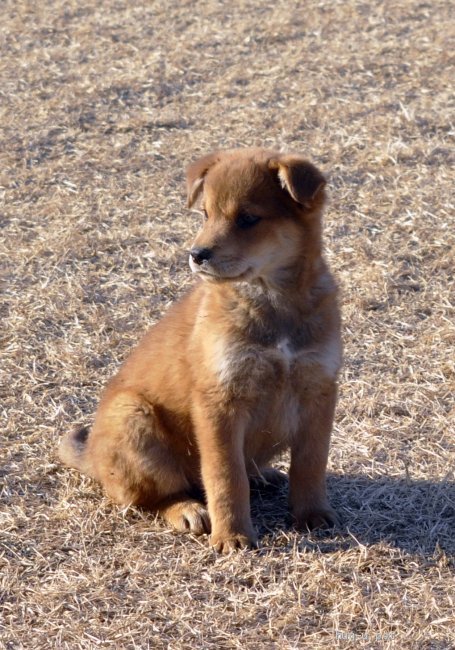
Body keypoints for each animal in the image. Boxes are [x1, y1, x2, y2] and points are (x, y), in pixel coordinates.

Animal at [60, 148, 344, 552]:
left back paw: (263, 474)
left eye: (248, 218)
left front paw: (312, 514)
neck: (272, 301)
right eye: (205, 214)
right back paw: (187, 510)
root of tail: (93, 459)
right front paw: (233, 536)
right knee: (150, 496)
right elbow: (226, 476)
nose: (197, 254)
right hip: (132, 416)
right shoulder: (219, 401)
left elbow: (310, 464)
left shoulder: (318, 389)